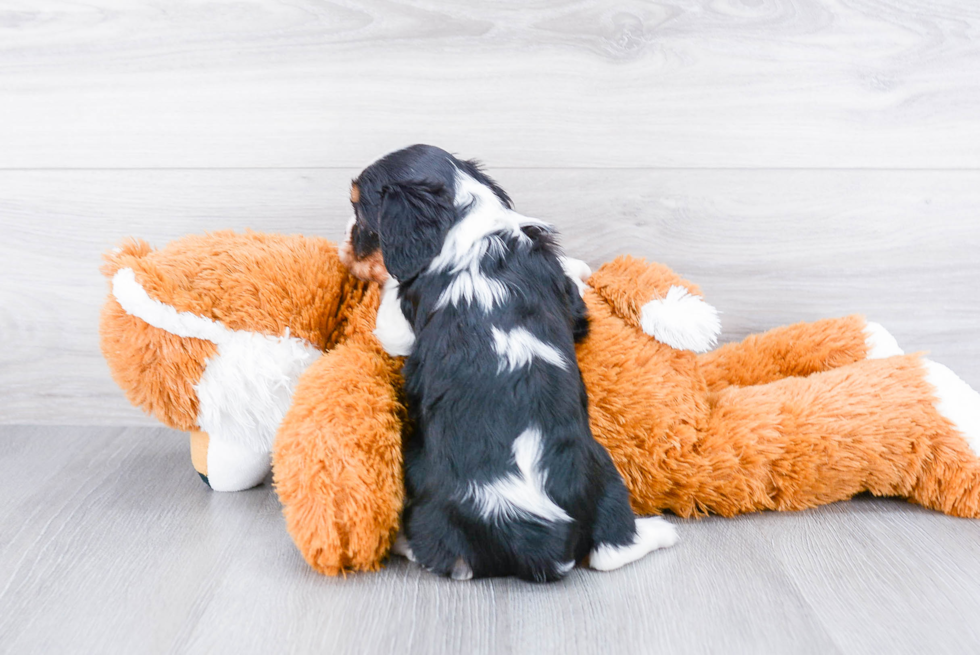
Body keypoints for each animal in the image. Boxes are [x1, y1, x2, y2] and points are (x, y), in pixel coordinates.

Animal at [342, 146, 672, 580]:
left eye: (360, 213)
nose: (344, 244)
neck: (468, 223)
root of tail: (534, 535)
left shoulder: (399, 326)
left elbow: (391, 298)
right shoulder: (564, 294)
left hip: (422, 468)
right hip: (603, 473)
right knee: (611, 549)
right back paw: (660, 532)